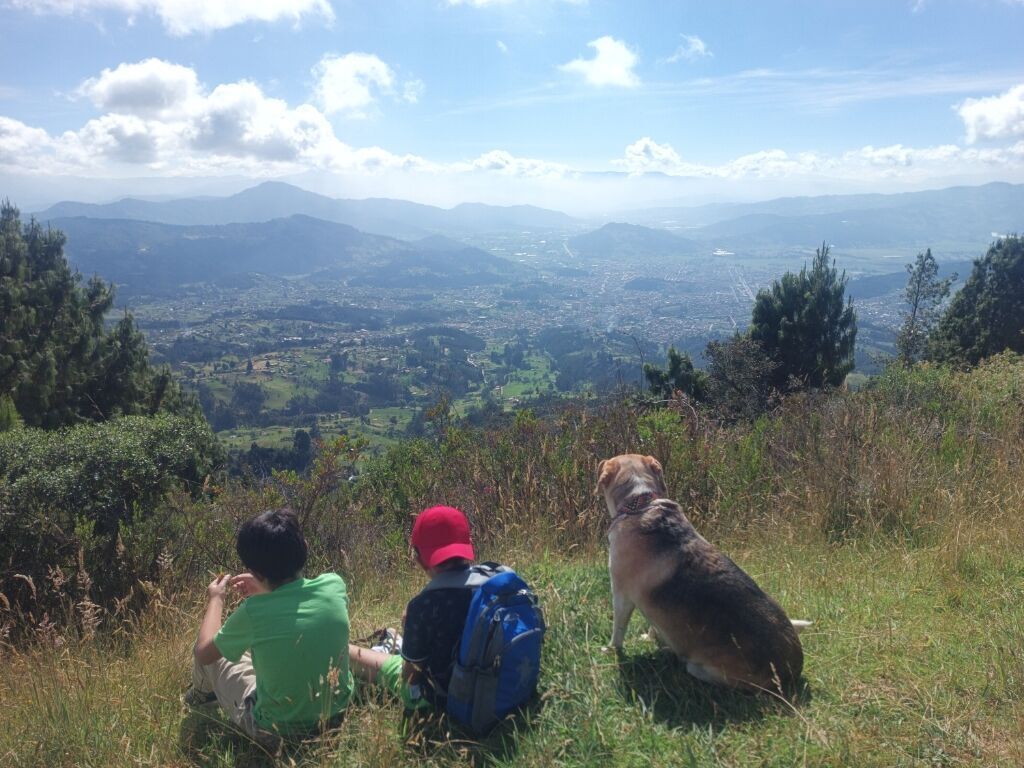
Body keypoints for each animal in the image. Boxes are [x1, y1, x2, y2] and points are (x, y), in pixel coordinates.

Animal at [598, 453, 808, 694]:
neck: (641, 503)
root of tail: (789, 674)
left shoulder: (621, 595)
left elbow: (618, 630)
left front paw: (611, 649)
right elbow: (654, 625)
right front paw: (651, 637)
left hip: (701, 668)